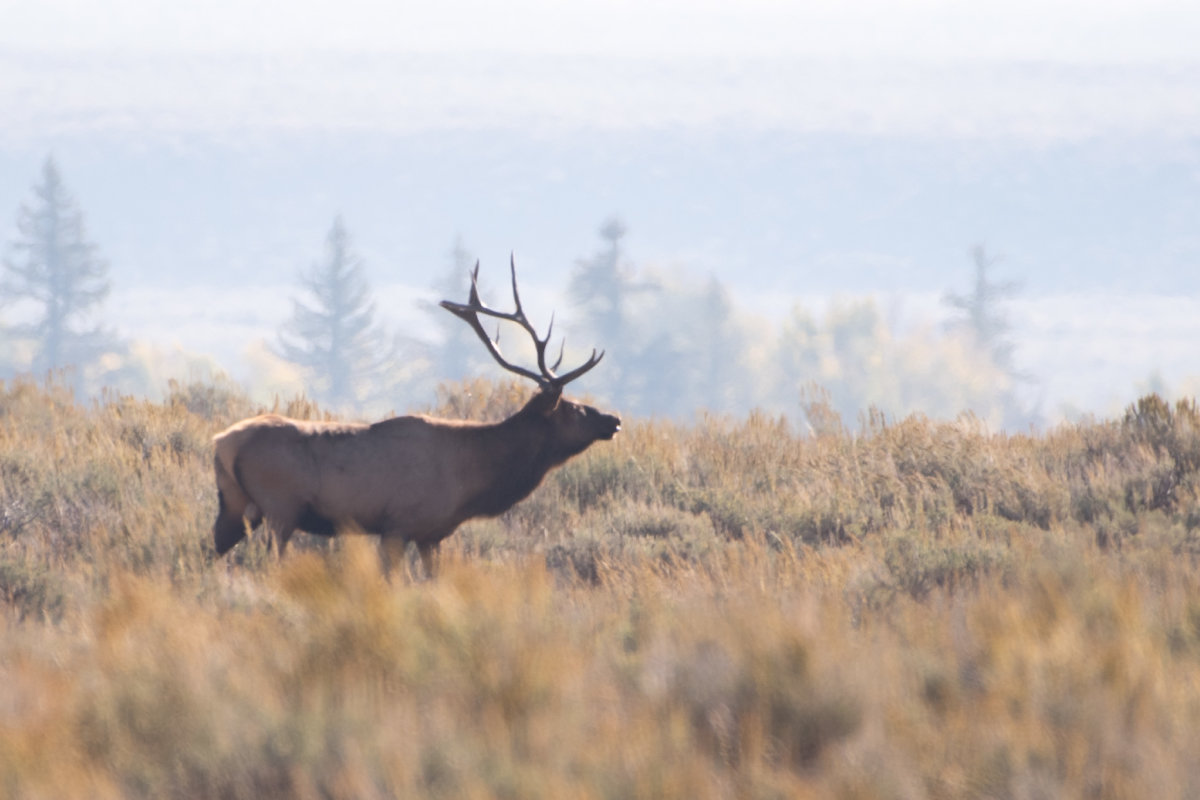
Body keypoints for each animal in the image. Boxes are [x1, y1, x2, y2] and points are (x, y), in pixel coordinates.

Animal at [211, 256, 620, 576]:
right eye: (572, 407)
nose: (613, 420)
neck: (473, 475)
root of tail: (222, 442)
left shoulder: (431, 535)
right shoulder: (399, 524)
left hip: (234, 506)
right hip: (280, 508)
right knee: (267, 563)